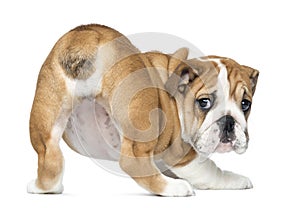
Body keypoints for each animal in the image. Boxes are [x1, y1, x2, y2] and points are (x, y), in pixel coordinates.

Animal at [27, 24, 258, 197]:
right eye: (204, 102)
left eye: (245, 104)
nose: (229, 121)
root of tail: (89, 37)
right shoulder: (181, 154)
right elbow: (209, 171)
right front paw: (236, 179)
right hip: (143, 113)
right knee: (133, 161)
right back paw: (174, 188)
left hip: (48, 111)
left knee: (49, 154)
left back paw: (43, 187)